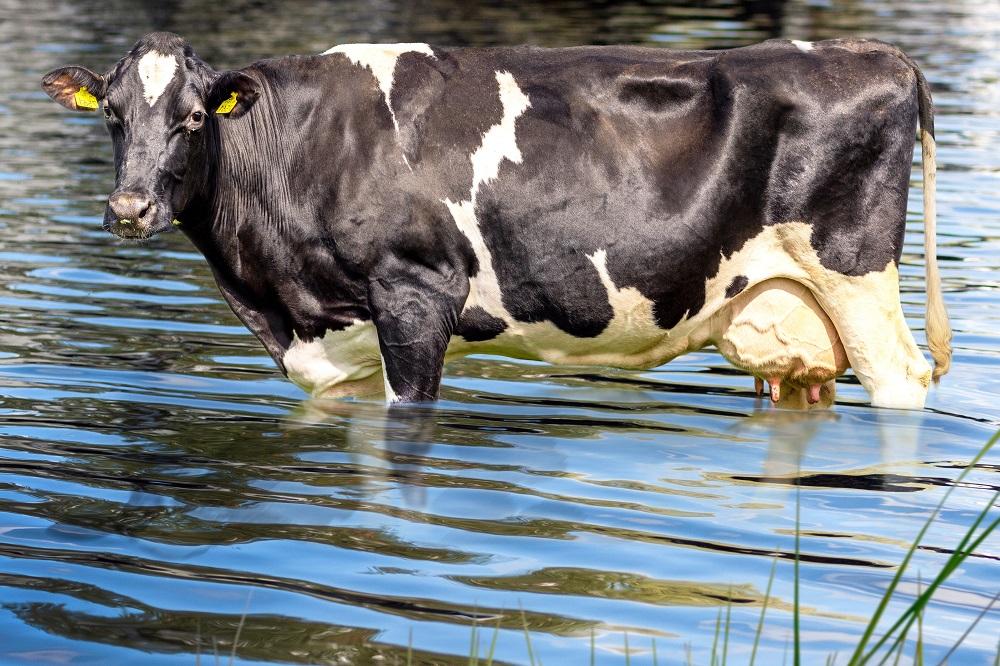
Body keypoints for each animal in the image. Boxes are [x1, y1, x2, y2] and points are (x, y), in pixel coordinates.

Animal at [41, 35, 952, 410]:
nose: (129, 207)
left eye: (195, 118)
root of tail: (872, 53)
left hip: (858, 279)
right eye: (113, 114)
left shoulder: (416, 297)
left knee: (902, 385)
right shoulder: (339, 341)